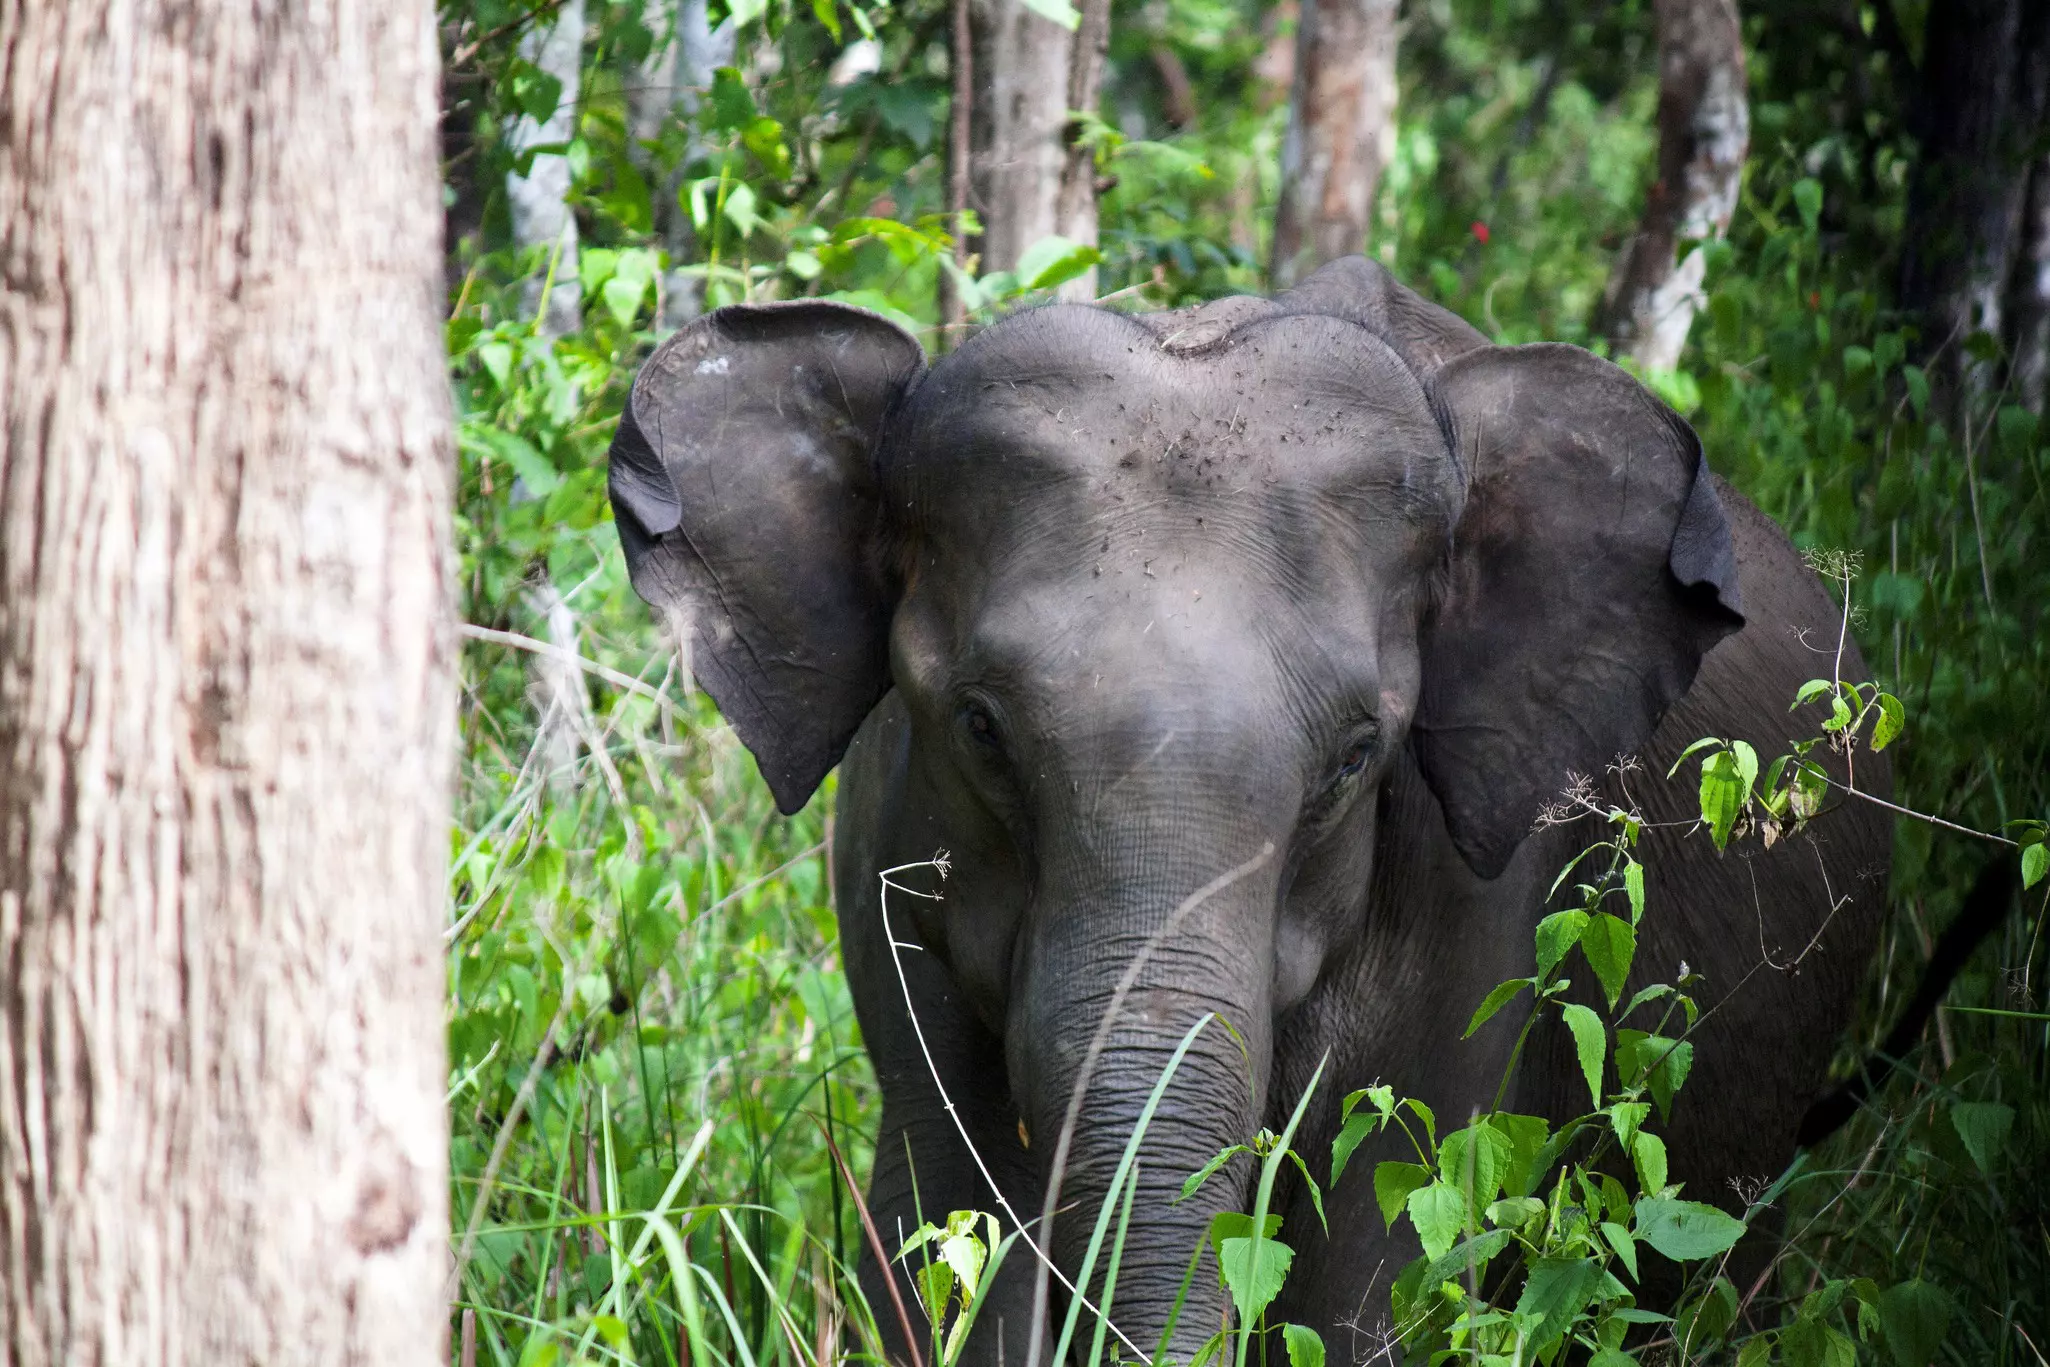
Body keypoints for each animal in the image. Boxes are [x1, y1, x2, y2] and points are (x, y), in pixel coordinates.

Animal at [607, 257, 1892, 1365]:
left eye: (1356, 756)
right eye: (978, 726)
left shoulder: (1483, 903)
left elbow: (1376, 1259)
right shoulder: (883, 855)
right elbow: (943, 1225)